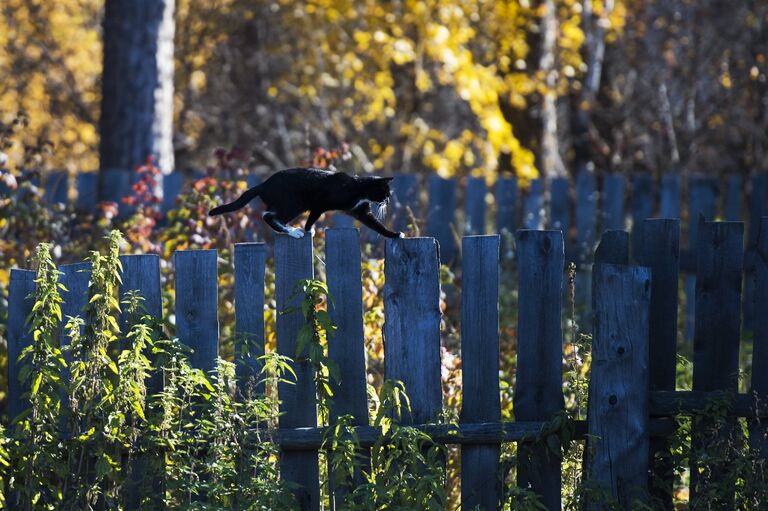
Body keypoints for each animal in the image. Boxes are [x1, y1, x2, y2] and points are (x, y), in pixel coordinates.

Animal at [207, 168, 404, 240]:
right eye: (385, 193)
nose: (387, 201)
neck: (359, 189)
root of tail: (263, 184)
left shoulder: (360, 211)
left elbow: (377, 226)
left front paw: (395, 234)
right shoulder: (320, 203)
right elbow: (312, 218)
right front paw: (309, 230)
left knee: (271, 215)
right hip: (293, 203)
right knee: (268, 215)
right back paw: (294, 231)